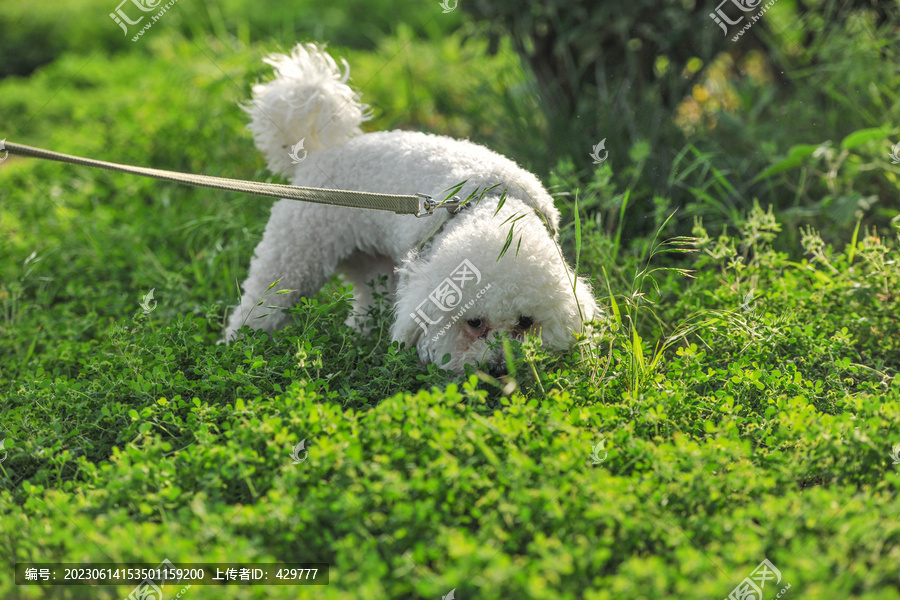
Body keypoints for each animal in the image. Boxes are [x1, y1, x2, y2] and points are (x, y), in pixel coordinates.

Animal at [227, 44, 596, 376]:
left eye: (526, 321)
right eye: (474, 322)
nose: (499, 368)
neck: (490, 207)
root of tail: (318, 154)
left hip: (371, 266)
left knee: (368, 301)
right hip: (294, 254)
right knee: (259, 303)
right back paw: (237, 345)